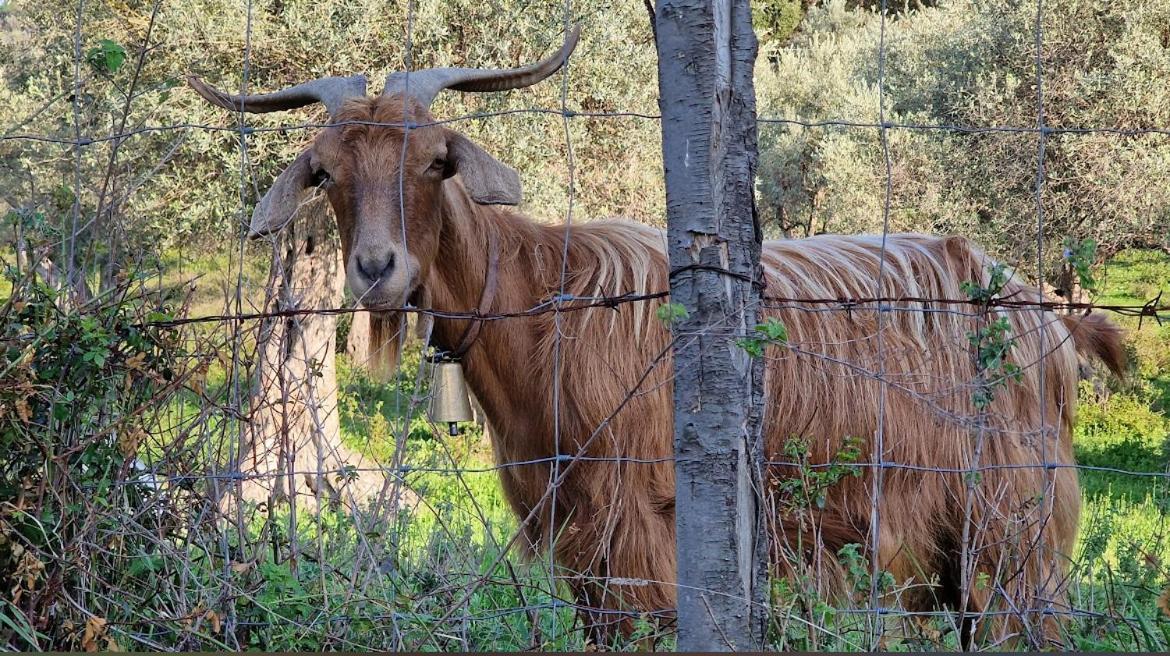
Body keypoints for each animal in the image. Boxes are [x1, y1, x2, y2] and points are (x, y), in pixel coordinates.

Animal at [189, 29, 1123, 645]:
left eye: (435, 162)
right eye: (325, 173)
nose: (376, 268)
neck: (542, 312)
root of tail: (1039, 308)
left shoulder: (641, 535)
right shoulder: (575, 543)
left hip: (1012, 535)